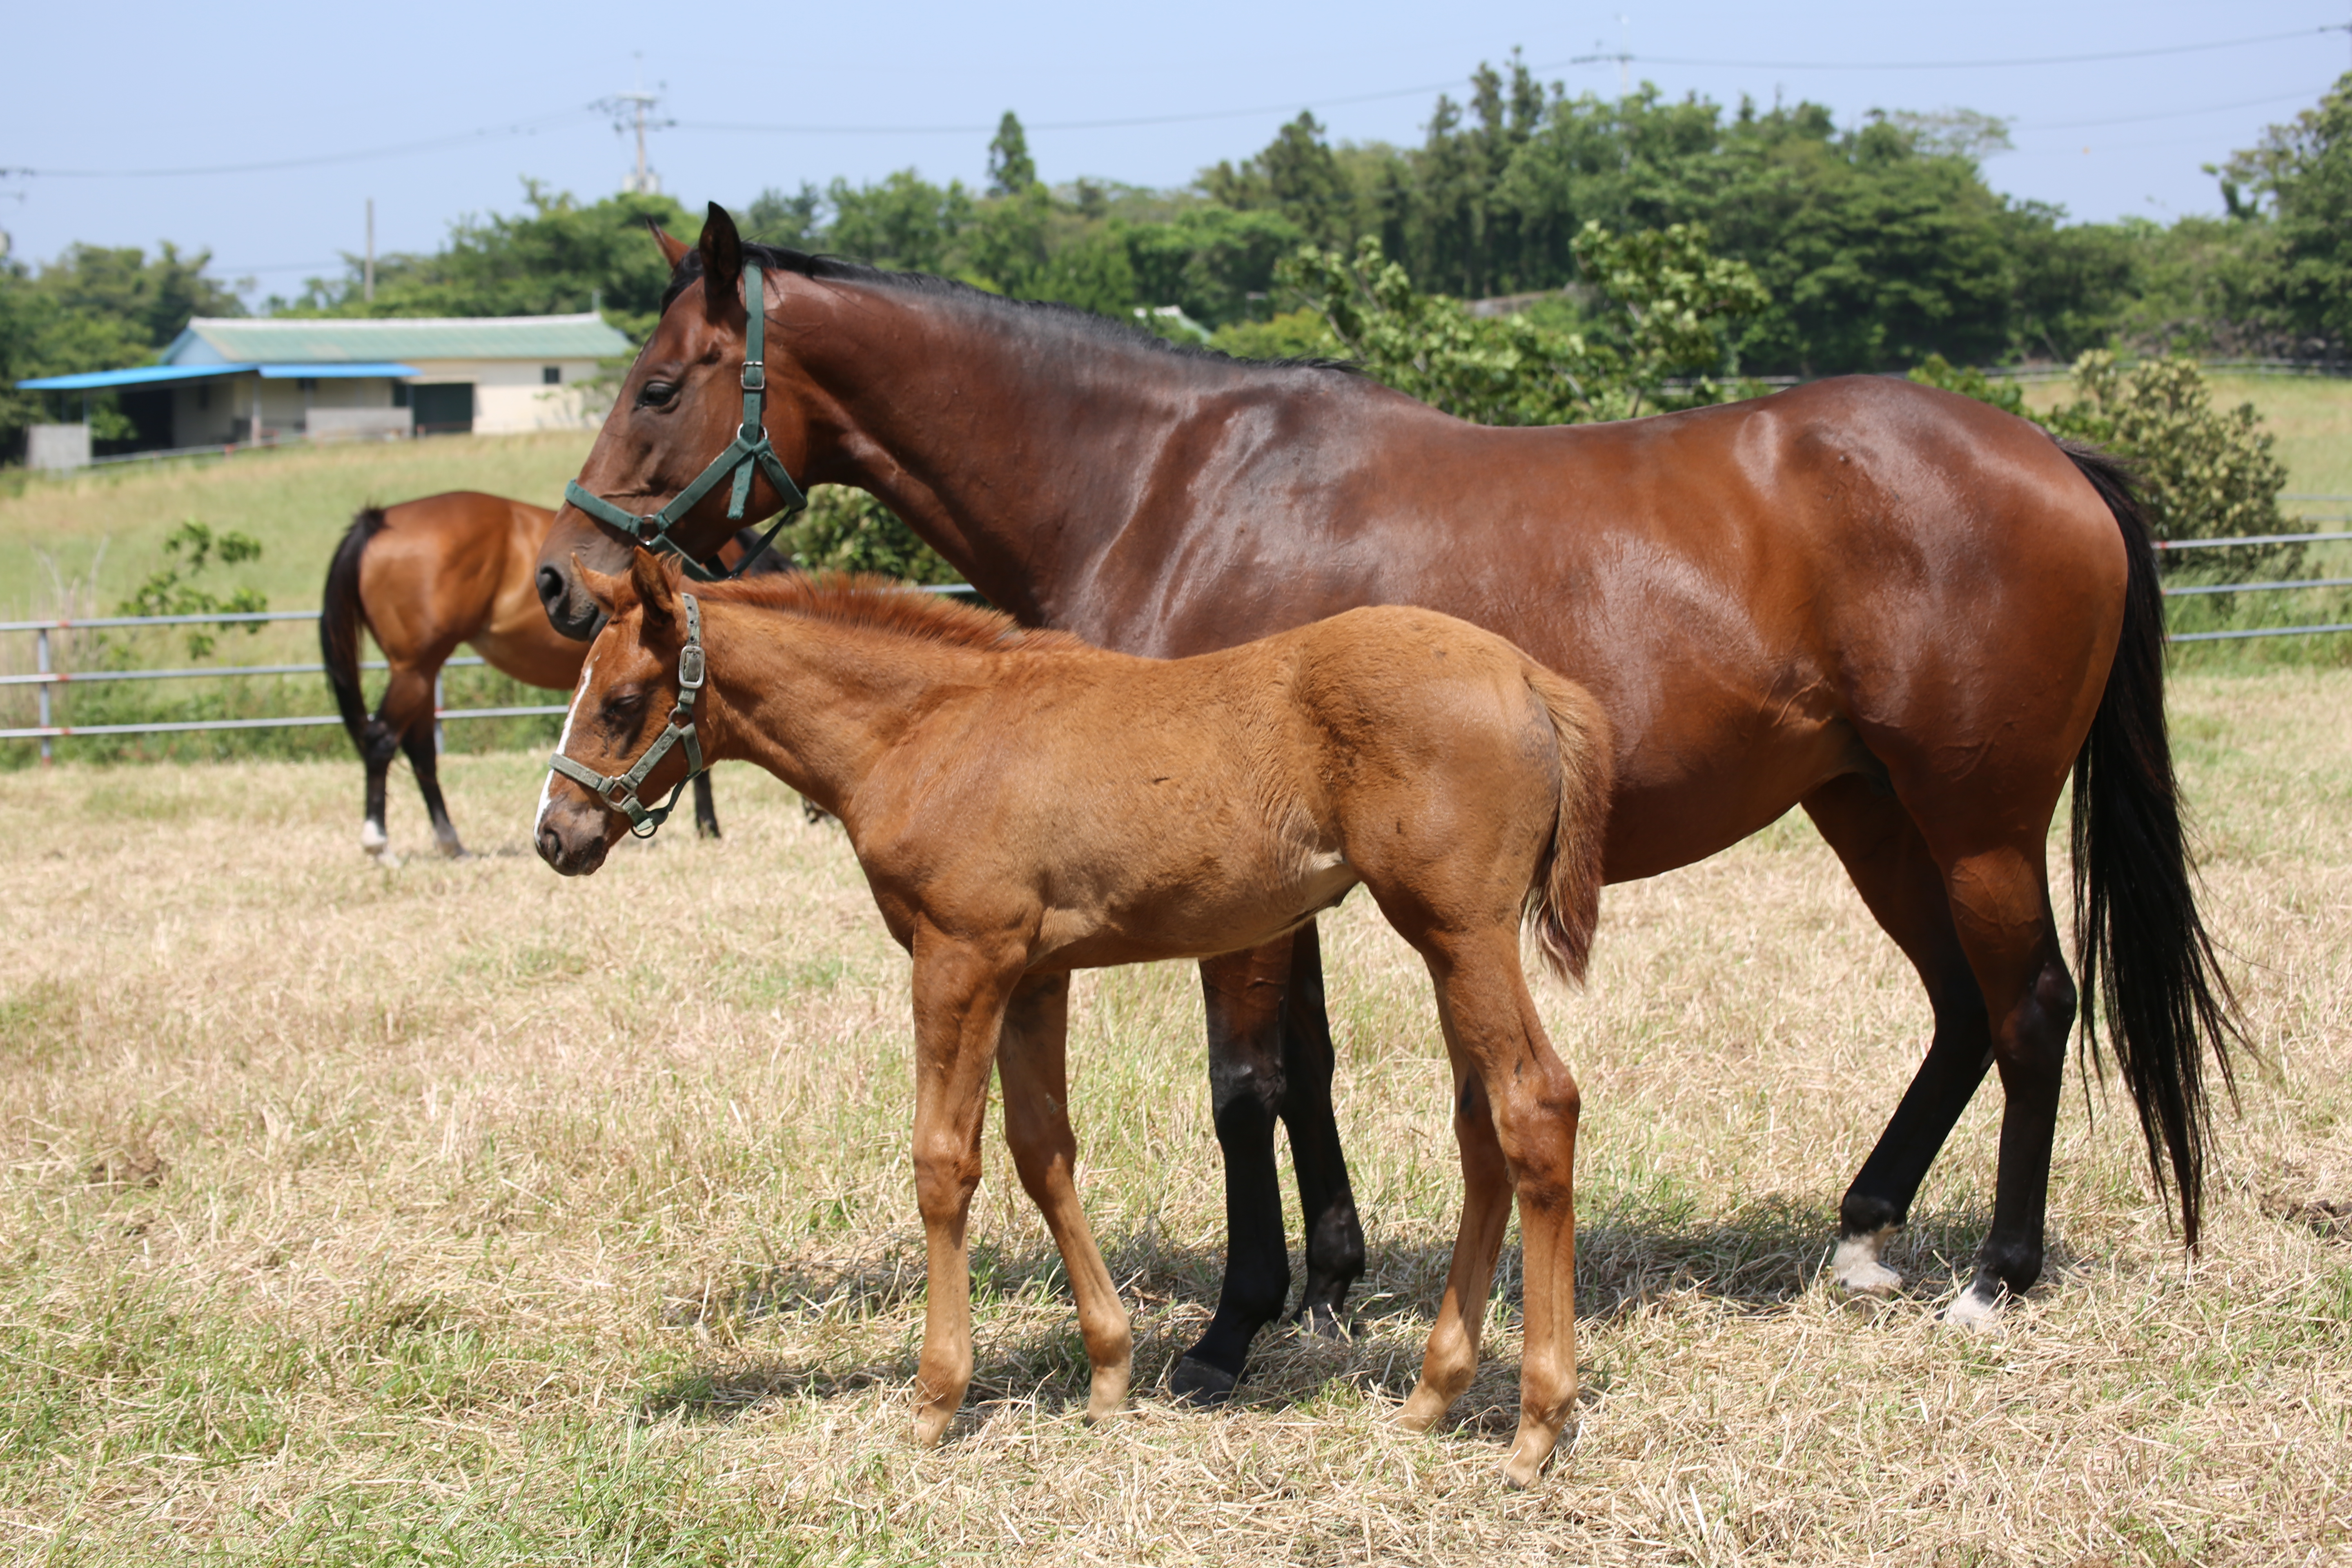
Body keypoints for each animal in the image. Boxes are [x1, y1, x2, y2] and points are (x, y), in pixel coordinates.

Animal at [322, 491, 785, 865]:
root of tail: (379, 519)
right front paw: (709, 826)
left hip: (421, 670)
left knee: (420, 751)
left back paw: (450, 842)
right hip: (415, 669)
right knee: (382, 740)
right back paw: (379, 845)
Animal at [536, 557, 1618, 1495]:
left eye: (621, 702)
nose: (556, 835)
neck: (930, 730)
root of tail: (1529, 677)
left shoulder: (959, 958)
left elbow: (943, 1161)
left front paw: (934, 1398)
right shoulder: (1033, 977)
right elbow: (1041, 1150)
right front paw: (1107, 1374)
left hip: (1461, 930)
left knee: (1537, 1106)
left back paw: (1534, 1428)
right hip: (1447, 944)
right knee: (1481, 1126)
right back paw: (1432, 1395)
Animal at [539, 208, 2239, 1401]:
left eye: (661, 381)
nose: (562, 581)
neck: (1162, 485)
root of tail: (2049, 454)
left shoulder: (1227, 880)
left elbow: (1242, 1088)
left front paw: (1229, 1330)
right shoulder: (1273, 878)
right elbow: (1305, 1076)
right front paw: (1329, 1278)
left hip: (1972, 820)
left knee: (2030, 1005)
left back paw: (1995, 1277)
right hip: (1868, 811)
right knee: (1959, 1010)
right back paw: (1864, 1233)